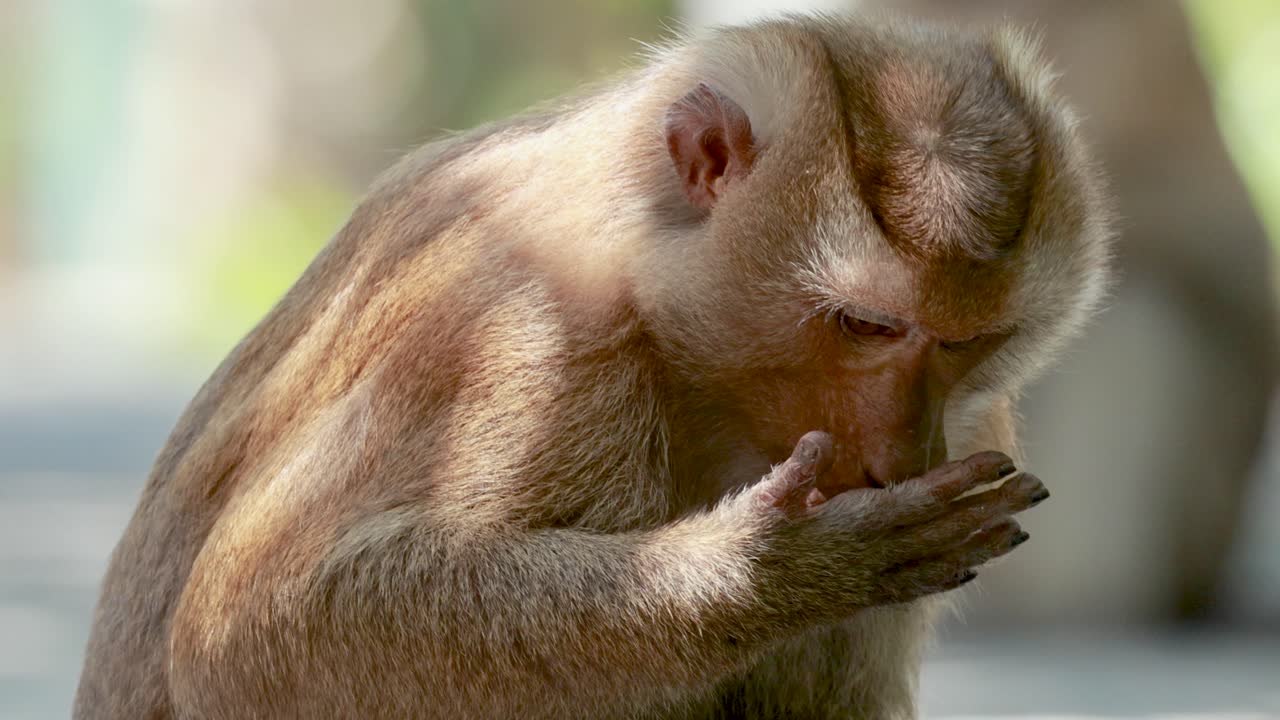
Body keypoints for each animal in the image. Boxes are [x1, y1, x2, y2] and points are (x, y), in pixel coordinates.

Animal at [73, 14, 1112, 720]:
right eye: (866, 324)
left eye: (969, 342)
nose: (901, 453)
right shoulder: (526, 335)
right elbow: (243, 631)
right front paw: (774, 573)